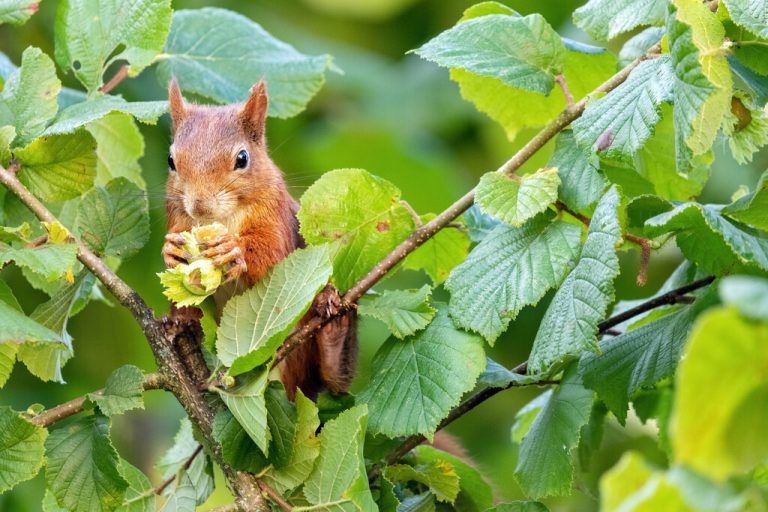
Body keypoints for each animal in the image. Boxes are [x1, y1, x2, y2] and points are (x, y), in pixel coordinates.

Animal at [162, 79, 357, 400]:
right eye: (171, 161)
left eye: (242, 158)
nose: (199, 206)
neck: (223, 219)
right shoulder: (176, 217)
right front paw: (170, 251)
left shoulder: (275, 217)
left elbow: (273, 254)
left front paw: (233, 250)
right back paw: (182, 322)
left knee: (334, 379)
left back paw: (333, 322)